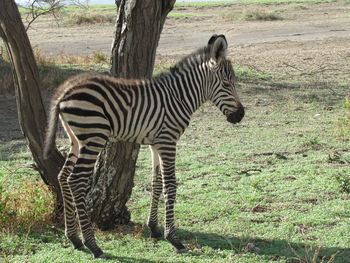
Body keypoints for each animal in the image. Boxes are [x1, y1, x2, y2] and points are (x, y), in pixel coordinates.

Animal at [43, 34, 245, 258]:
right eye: (227, 83)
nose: (240, 115)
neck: (179, 97)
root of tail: (65, 90)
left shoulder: (156, 143)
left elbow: (156, 182)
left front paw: (154, 228)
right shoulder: (168, 140)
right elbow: (170, 185)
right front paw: (173, 238)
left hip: (77, 140)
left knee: (63, 177)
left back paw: (74, 238)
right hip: (94, 136)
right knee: (76, 180)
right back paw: (93, 245)